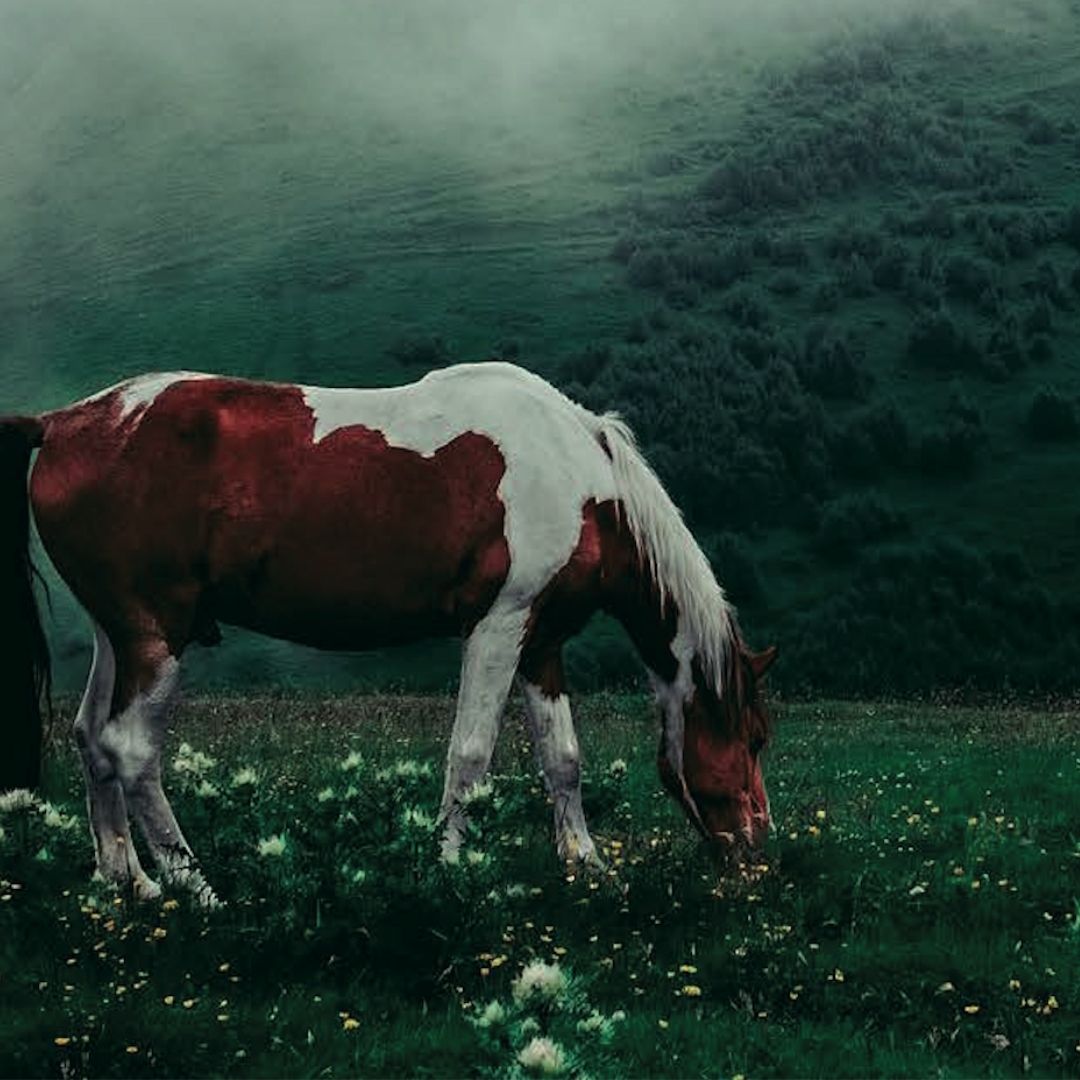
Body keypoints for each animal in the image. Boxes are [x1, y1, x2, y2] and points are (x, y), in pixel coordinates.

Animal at [0, 362, 776, 904]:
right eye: (755, 738)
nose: (755, 844)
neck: (577, 477)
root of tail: (62, 422)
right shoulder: (498, 627)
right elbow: (470, 755)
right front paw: (453, 868)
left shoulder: (541, 642)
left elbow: (562, 758)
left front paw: (586, 865)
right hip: (156, 637)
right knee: (130, 750)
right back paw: (199, 889)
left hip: (119, 635)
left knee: (90, 737)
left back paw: (129, 882)